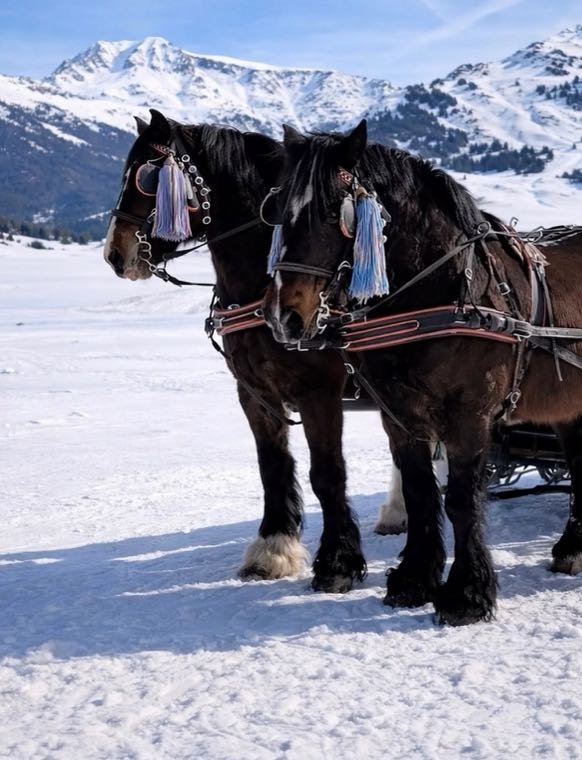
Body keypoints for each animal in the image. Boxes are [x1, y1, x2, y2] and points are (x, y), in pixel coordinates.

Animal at [103, 109, 385, 592]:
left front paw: (338, 562)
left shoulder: (320, 392)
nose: (114, 254)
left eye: (145, 177)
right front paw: (273, 549)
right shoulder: (254, 392)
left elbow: (327, 473)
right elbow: (272, 466)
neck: (264, 283)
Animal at [262, 118, 582, 625]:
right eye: (280, 212)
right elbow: (419, 491)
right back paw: (572, 548)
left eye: (335, 211)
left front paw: (467, 595)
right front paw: (414, 580)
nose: (284, 317)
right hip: (566, 407)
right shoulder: (399, 414)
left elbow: (461, 500)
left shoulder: (470, 414)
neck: (440, 290)